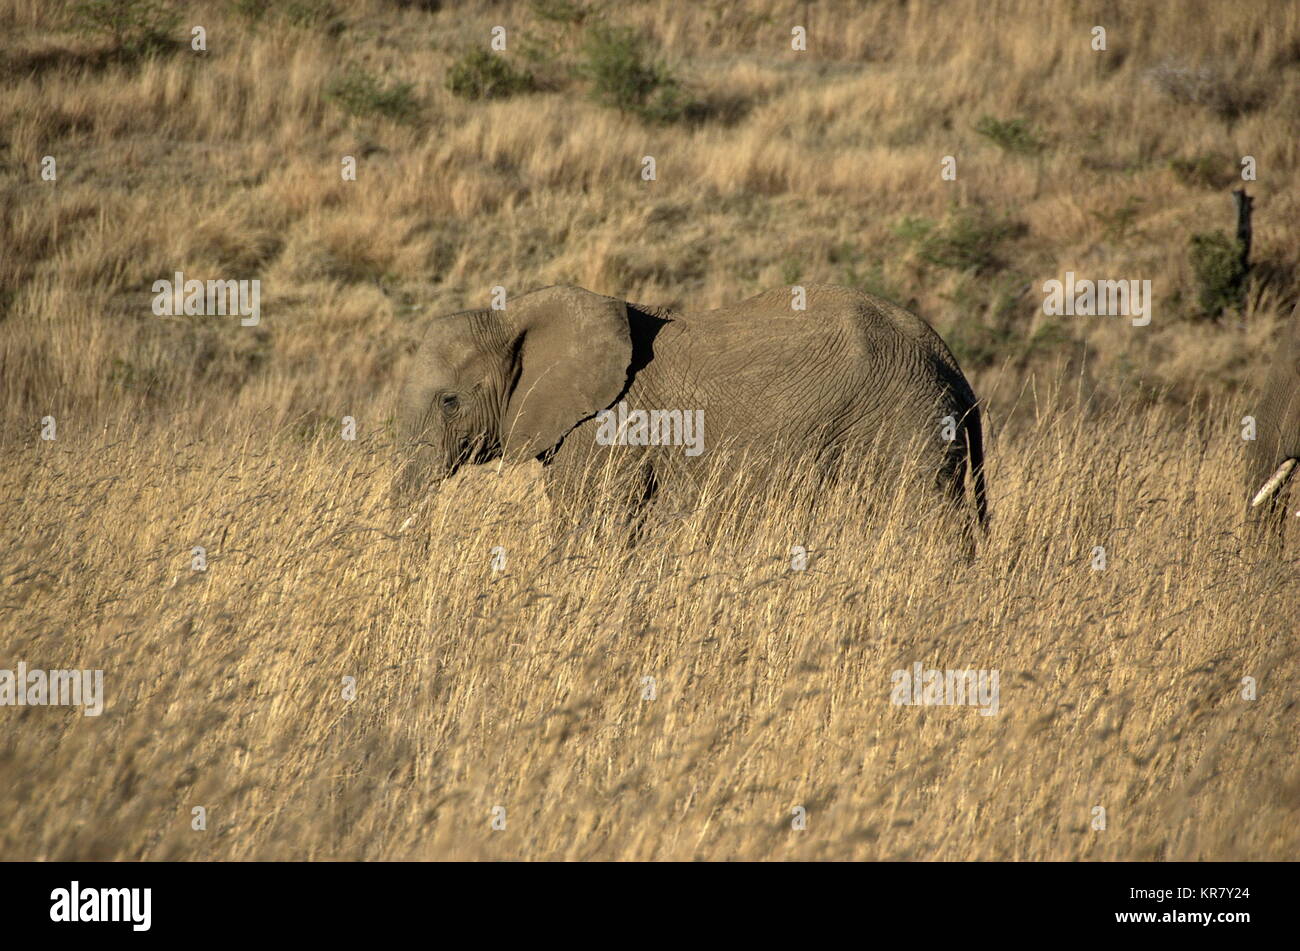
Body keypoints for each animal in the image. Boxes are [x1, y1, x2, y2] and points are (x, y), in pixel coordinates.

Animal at [392, 281, 982, 550]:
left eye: (449, 402)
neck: (513, 314)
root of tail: (945, 357)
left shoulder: (607, 426)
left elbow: (591, 523)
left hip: (899, 423)